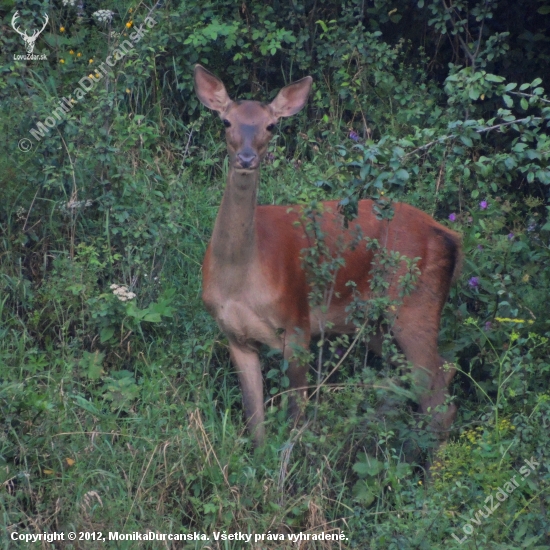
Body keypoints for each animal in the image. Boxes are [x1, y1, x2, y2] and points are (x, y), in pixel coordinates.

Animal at [194, 64, 462, 450]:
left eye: (271, 125)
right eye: (226, 121)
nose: (246, 158)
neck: (240, 277)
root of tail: (451, 236)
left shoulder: (298, 323)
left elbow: (296, 415)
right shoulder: (235, 335)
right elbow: (255, 420)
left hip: (416, 304)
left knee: (437, 393)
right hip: (375, 323)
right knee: (435, 377)